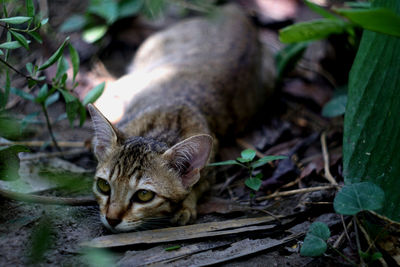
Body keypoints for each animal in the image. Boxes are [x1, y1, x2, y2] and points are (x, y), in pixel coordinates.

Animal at [87, 4, 276, 234]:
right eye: (103, 185)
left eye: (143, 195)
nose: (111, 218)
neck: (163, 128)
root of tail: (235, 13)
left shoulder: (209, 168)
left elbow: (197, 186)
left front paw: (186, 205)